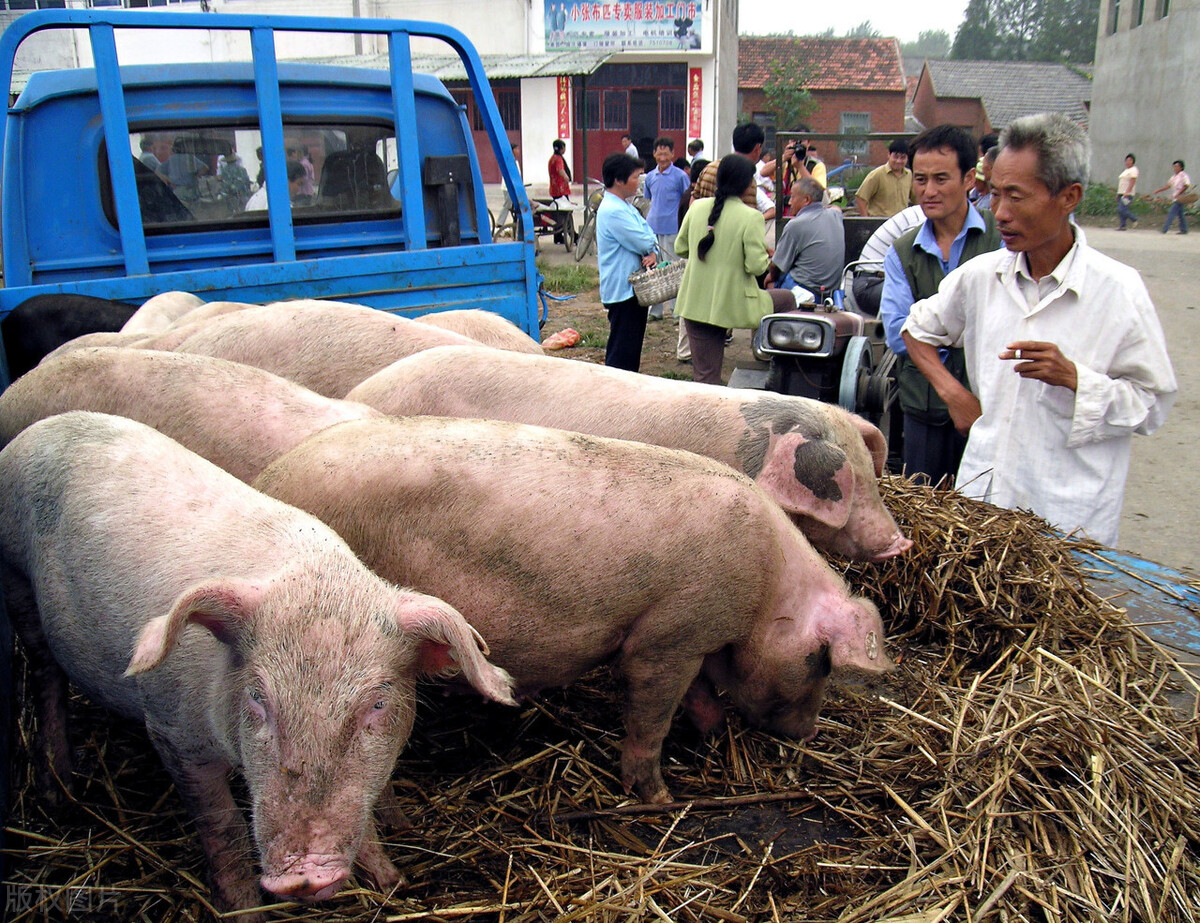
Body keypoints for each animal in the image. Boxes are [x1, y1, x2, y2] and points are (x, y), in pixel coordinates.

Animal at [0, 412, 511, 912]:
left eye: (378, 705)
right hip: (15, 577)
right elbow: (221, 826)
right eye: (257, 697)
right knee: (44, 671)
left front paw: (391, 881)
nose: (305, 875)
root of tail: (42, 428)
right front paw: (243, 909)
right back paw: (57, 791)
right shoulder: (170, 730)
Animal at [250, 412, 892, 801]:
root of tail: (268, 479)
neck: (766, 588)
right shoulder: (668, 634)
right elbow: (652, 710)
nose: (808, 733)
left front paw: (708, 737)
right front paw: (659, 796)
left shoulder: (695, 637)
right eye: (822, 661)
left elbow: (701, 695)